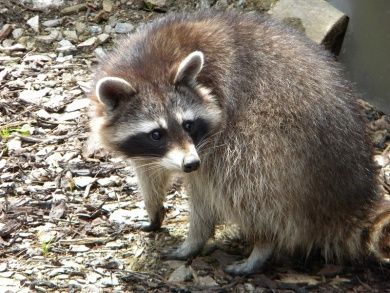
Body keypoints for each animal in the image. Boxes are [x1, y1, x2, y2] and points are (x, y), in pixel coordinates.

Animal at [88, 9, 390, 274]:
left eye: (188, 125)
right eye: (156, 134)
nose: (190, 163)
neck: (147, 65)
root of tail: (350, 196)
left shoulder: (212, 127)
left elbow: (208, 185)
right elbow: (148, 171)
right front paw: (153, 210)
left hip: (275, 146)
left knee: (231, 182)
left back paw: (248, 243)